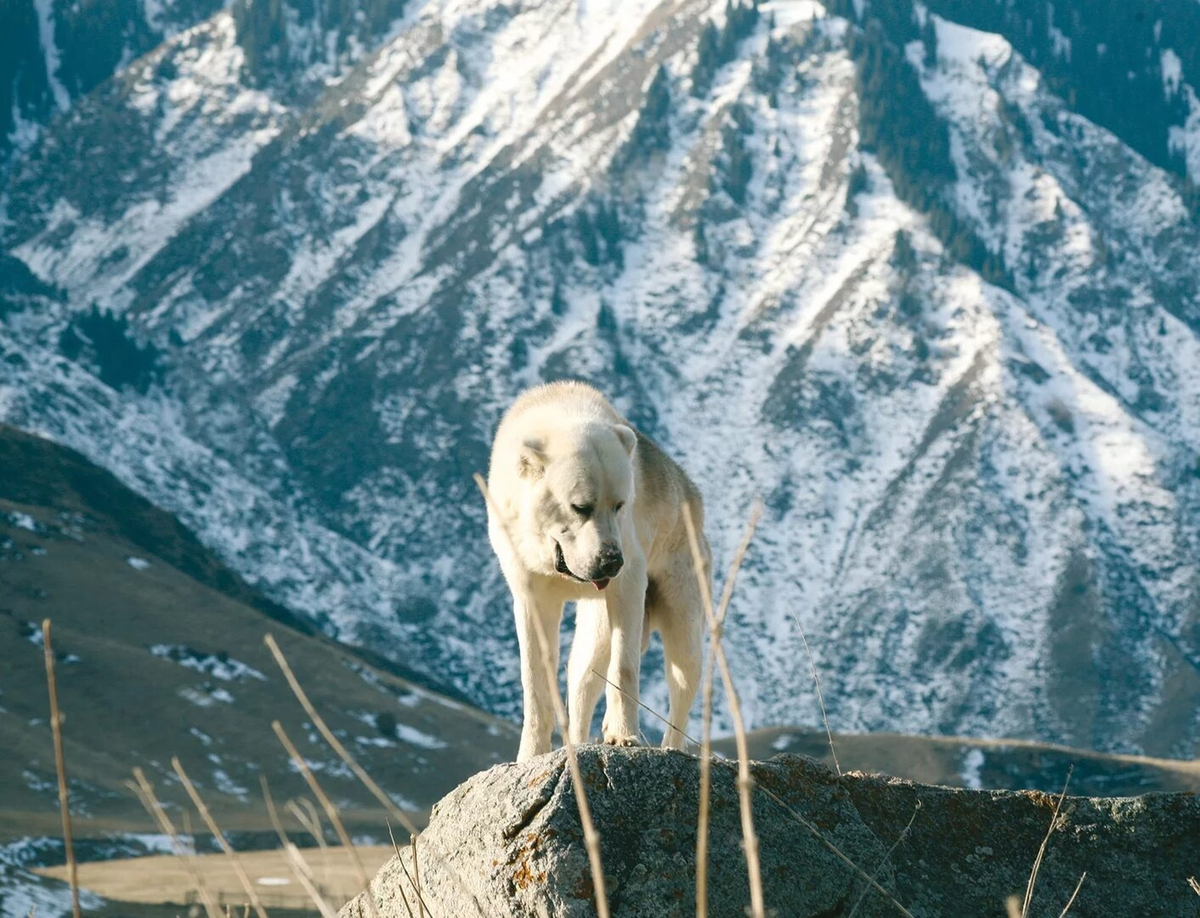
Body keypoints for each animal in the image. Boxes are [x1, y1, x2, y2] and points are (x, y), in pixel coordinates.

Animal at [482, 379, 705, 758]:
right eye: (580, 507)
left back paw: (672, 749)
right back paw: (576, 746)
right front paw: (531, 754)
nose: (612, 561)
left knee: (681, 691)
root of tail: (692, 491)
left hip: (684, 631)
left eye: (620, 505)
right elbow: (535, 685)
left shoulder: (629, 585)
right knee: (581, 687)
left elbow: (624, 668)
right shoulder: (530, 597)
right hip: (592, 637)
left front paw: (623, 735)